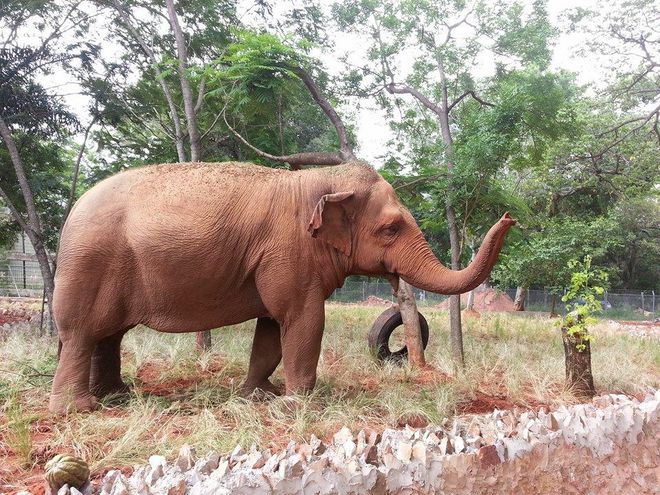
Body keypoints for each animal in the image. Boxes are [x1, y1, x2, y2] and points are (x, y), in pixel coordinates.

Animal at [50, 161, 516, 412]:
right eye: (390, 229)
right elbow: (303, 321)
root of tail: (71, 214)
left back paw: (117, 396)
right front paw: (301, 404)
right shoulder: (288, 253)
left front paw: (262, 395)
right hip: (90, 266)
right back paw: (80, 408)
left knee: (108, 335)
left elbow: (272, 328)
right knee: (81, 334)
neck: (319, 180)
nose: (510, 216)